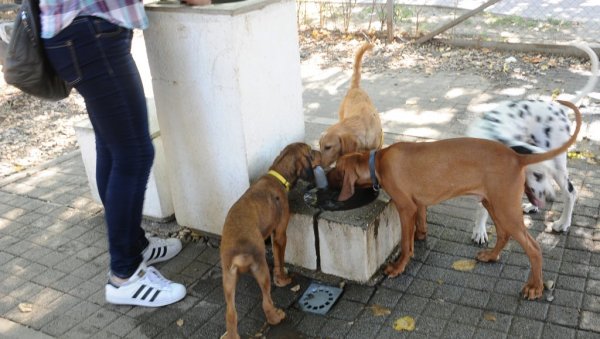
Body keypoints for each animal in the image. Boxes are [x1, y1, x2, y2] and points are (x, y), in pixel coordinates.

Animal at [220, 143, 322, 339]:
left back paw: (230, 334)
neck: (277, 175)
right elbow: (279, 260)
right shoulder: (280, 234)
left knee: (231, 313)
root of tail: (238, 255)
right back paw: (276, 316)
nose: (320, 151)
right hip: (261, 271)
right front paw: (283, 279)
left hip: (227, 280)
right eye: (311, 153)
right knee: (266, 303)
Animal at [326, 100, 584, 300]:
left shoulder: (405, 207)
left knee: (534, 248)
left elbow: (406, 243)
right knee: (503, 234)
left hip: (506, 208)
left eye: (336, 171)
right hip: (493, 203)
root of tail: (517, 156)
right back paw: (491, 256)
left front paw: (398, 266)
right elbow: (420, 226)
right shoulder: (418, 204)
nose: (323, 178)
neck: (377, 161)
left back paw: (535, 287)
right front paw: (421, 236)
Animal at [466, 42, 596, 244]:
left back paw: (563, 223)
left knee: (571, 192)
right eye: (537, 174)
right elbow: (482, 208)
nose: (550, 198)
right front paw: (480, 230)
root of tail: (558, 107)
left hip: (558, 165)